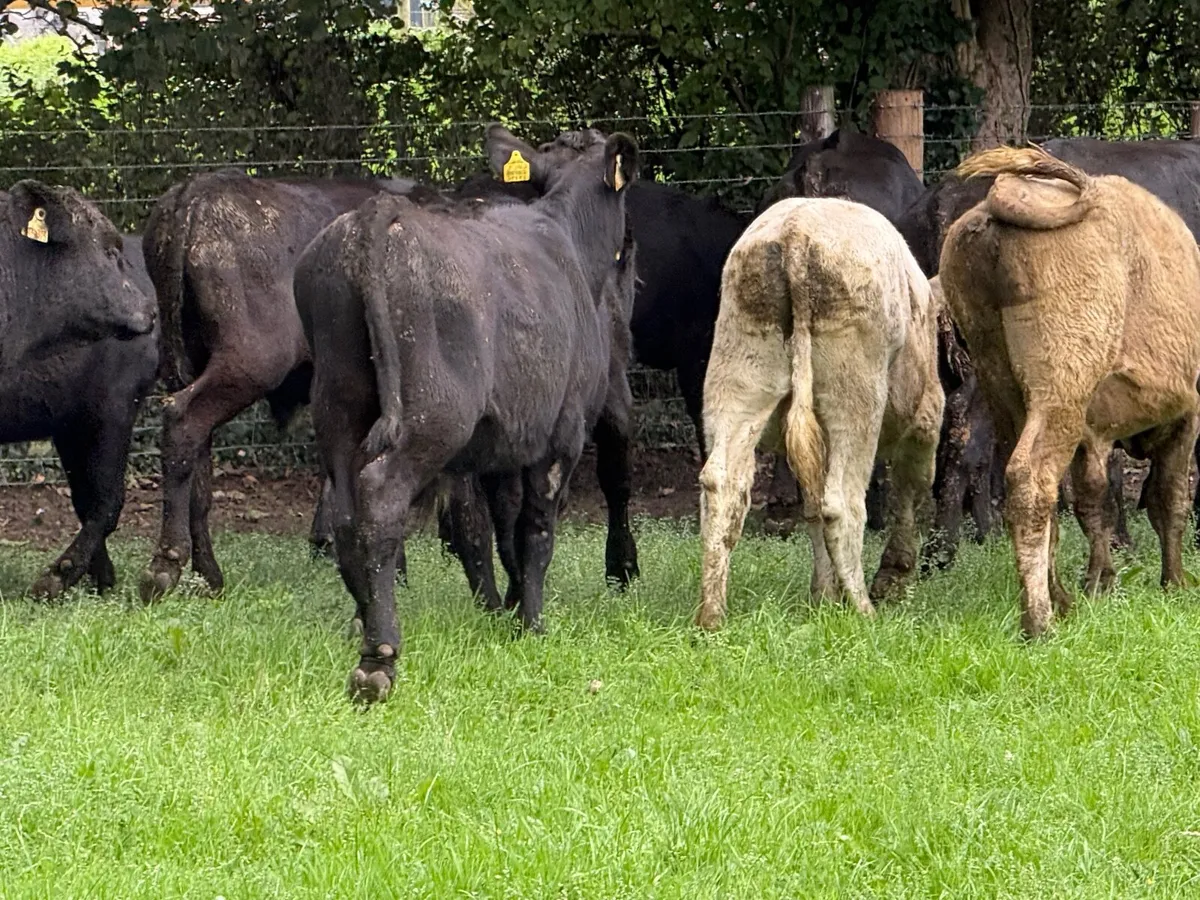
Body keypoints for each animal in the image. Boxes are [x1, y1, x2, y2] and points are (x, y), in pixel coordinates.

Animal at [295, 124, 638, 703]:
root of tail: (376, 216)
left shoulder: (494, 446)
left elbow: (492, 529)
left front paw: (505, 607)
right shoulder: (561, 434)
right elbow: (535, 529)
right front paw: (531, 622)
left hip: (339, 412)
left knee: (345, 515)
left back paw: (365, 619)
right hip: (432, 417)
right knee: (380, 499)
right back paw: (379, 656)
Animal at [696, 197, 943, 631]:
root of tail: (797, 228)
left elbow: (810, 507)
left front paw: (825, 596)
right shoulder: (925, 420)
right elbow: (910, 491)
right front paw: (891, 579)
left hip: (738, 378)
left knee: (722, 485)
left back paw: (711, 614)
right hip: (856, 396)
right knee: (840, 503)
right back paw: (863, 608)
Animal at [940, 146, 1200, 637]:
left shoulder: (1094, 434)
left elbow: (1093, 500)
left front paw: (1102, 581)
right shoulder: (1184, 417)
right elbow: (1168, 498)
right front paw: (1175, 583)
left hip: (1006, 389)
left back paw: (1062, 601)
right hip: (1059, 392)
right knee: (1030, 480)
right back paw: (1041, 621)